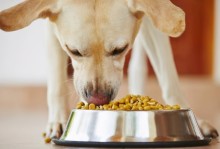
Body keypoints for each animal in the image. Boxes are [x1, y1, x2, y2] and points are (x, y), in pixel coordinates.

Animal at [0, 0, 217, 140]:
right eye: (74, 51)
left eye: (120, 49)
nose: (98, 99)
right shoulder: (52, 27)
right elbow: (56, 82)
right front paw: (58, 121)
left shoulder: (154, 16)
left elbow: (168, 76)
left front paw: (193, 119)